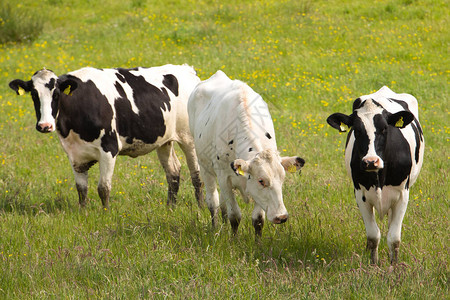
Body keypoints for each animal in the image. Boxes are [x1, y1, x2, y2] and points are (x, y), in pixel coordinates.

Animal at [9, 63, 203, 209]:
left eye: (56, 94)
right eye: (34, 95)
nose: (45, 126)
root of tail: (187, 70)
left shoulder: (109, 149)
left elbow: (103, 188)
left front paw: (105, 213)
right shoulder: (74, 154)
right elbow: (81, 188)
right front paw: (83, 212)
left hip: (189, 139)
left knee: (196, 175)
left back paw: (200, 207)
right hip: (164, 140)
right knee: (173, 172)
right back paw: (170, 207)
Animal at [186, 71, 306, 237]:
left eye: (283, 178)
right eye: (261, 181)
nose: (281, 216)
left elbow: (258, 219)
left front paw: (257, 241)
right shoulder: (224, 178)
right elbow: (235, 216)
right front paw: (234, 240)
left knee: (222, 205)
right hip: (204, 167)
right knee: (213, 202)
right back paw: (215, 228)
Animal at [326, 85, 426, 264]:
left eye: (385, 128)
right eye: (356, 130)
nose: (371, 161)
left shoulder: (403, 195)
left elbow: (394, 237)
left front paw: (394, 265)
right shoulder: (360, 194)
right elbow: (373, 236)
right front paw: (373, 264)